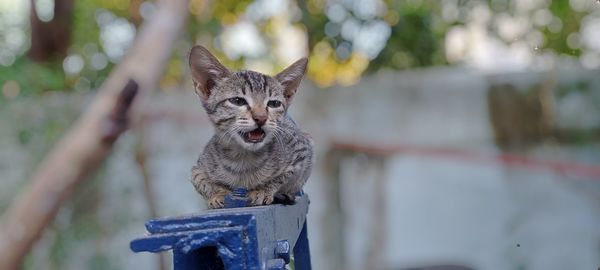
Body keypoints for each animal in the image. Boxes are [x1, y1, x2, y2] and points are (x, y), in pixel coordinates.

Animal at [190, 45, 314, 209]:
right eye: (237, 101)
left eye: (274, 104)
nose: (261, 118)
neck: (243, 160)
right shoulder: (197, 169)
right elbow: (202, 181)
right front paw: (218, 194)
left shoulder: (302, 151)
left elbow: (282, 177)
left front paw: (262, 190)